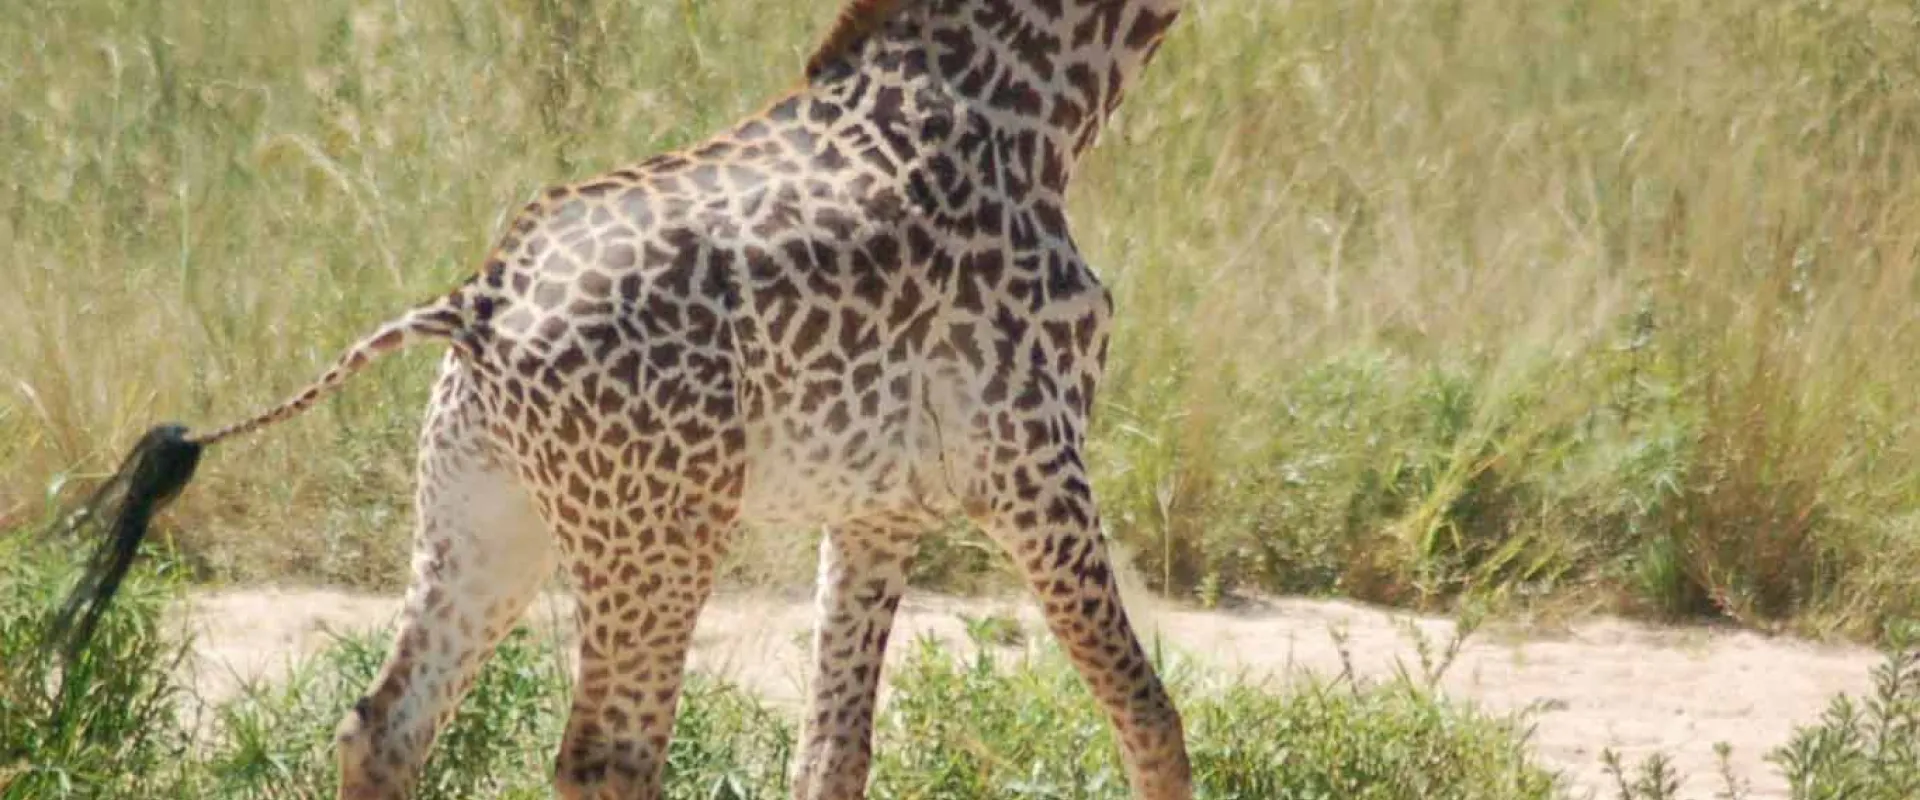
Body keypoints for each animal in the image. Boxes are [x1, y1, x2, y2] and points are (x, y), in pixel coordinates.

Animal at [47, 1, 1189, 798]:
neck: (1031, 113)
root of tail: (477, 301)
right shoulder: (1032, 461)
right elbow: (1150, 717)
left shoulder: (878, 506)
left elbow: (832, 755)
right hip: (656, 545)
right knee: (605, 755)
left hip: (487, 520)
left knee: (382, 725)